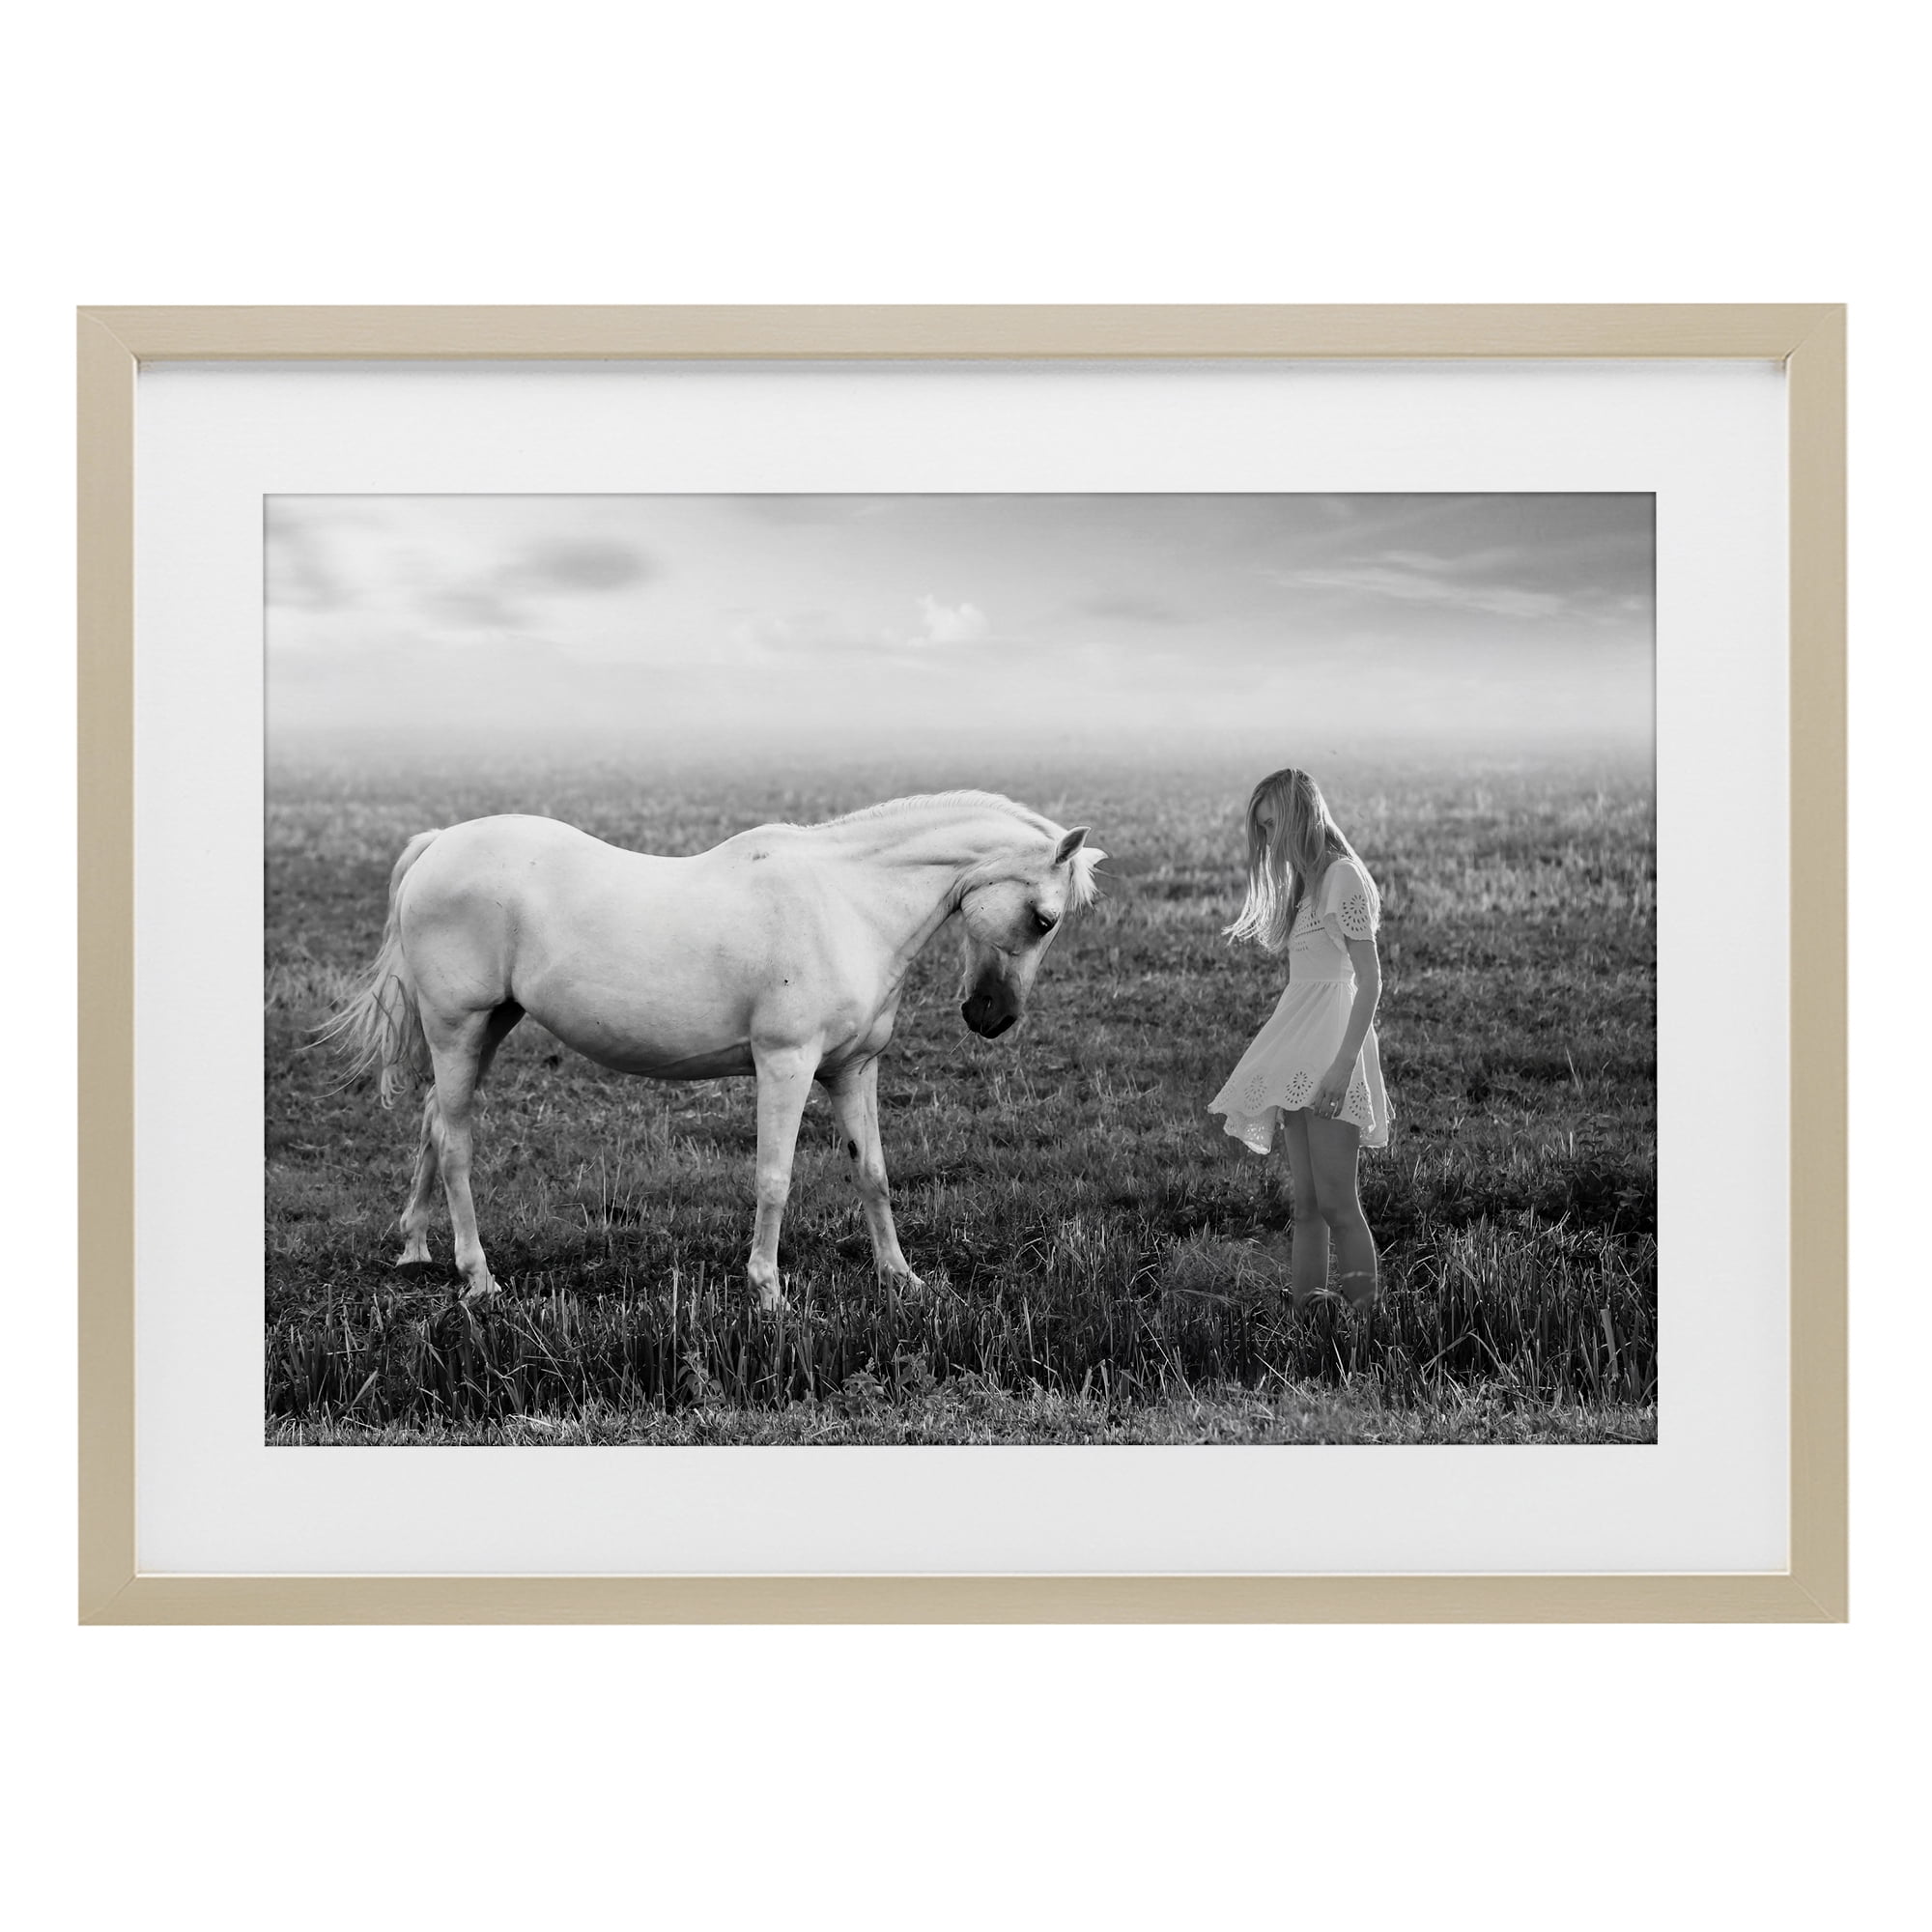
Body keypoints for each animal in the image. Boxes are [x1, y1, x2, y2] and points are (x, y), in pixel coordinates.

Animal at [319, 791, 1105, 1308]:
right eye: (1044, 918)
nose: (992, 1017)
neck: (847, 902)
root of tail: (439, 843)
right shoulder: (785, 1064)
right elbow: (774, 1179)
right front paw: (769, 1291)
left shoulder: (852, 1070)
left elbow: (873, 1174)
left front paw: (901, 1278)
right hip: (458, 1027)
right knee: (454, 1143)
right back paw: (478, 1276)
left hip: (488, 1027)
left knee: (433, 1123)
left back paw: (416, 1248)